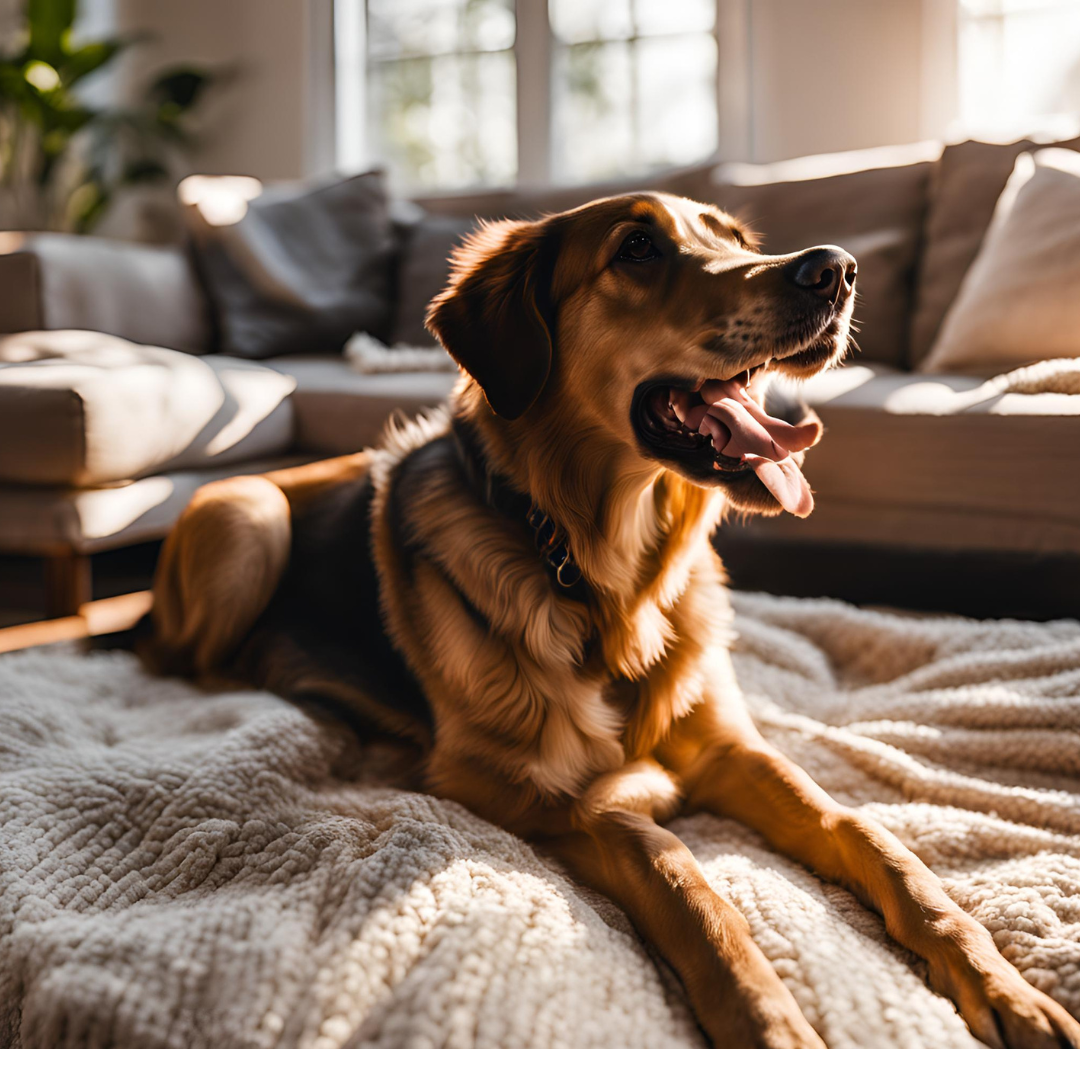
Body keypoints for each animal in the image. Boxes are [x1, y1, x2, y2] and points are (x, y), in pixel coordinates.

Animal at [141, 192, 1080, 1045]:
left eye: (733, 239)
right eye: (637, 249)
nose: (836, 270)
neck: (612, 579)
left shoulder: (731, 750)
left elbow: (872, 838)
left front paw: (1002, 985)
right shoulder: (530, 790)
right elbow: (672, 868)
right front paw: (771, 1025)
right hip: (247, 519)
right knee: (176, 664)